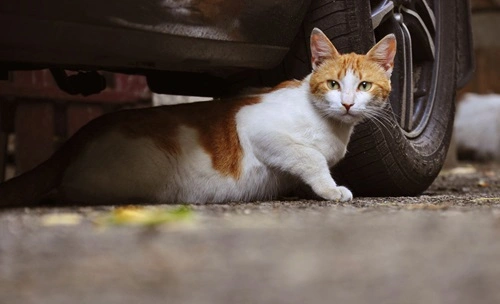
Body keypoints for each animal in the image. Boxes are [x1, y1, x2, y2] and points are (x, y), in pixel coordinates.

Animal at [0, 27, 394, 207]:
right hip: (138, 176)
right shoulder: (257, 125)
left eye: (363, 85)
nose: (347, 104)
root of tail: (79, 136)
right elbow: (310, 157)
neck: (332, 126)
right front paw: (330, 188)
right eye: (332, 84)